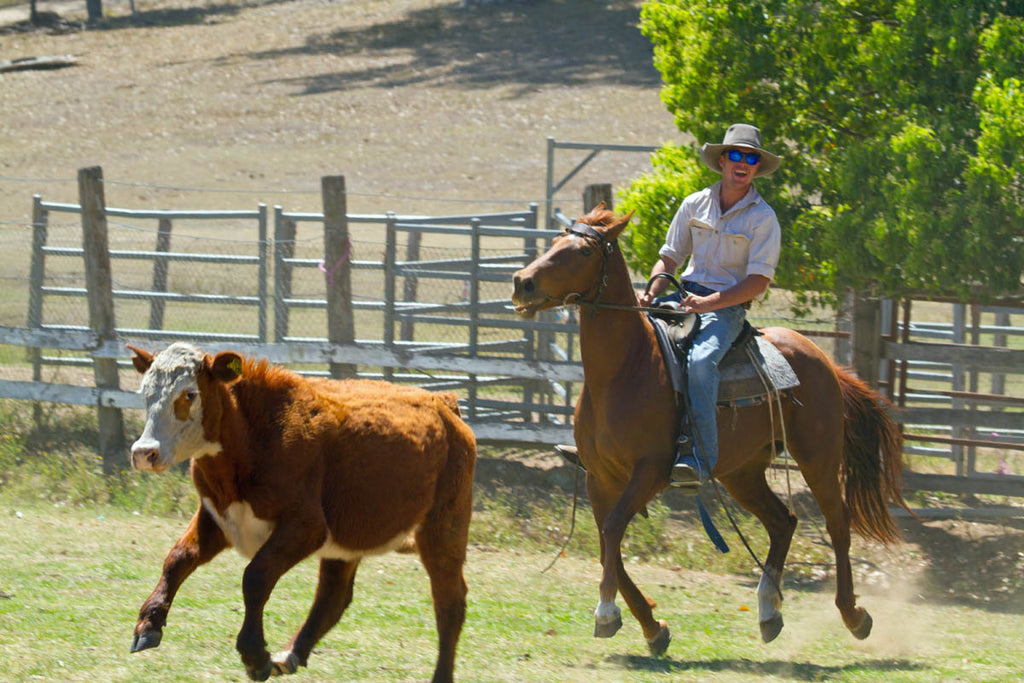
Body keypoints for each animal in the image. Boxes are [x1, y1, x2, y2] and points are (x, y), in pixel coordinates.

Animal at [126, 344, 475, 679]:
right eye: (145, 392)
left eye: (189, 394)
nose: (144, 453)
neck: (252, 439)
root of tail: (444, 404)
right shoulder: (217, 518)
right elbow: (177, 560)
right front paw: (148, 625)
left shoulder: (306, 527)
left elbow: (255, 576)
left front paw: (255, 655)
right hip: (348, 539)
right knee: (333, 595)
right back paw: (290, 654)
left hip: (443, 530)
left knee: (449, 602)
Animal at [509, 206, 905, 651]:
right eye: (556, 242)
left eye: (581, 251)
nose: (522, 282)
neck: (625, 369)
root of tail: (824, 361)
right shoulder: (599, 478)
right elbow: (606, 540)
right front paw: (653, 626)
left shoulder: (650, 472)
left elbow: (611, 531)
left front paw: (608, 612)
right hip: (743, 472)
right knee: (782, 521)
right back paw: (768, 611)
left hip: (818, 457)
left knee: (837, 524)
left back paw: (853, 614)